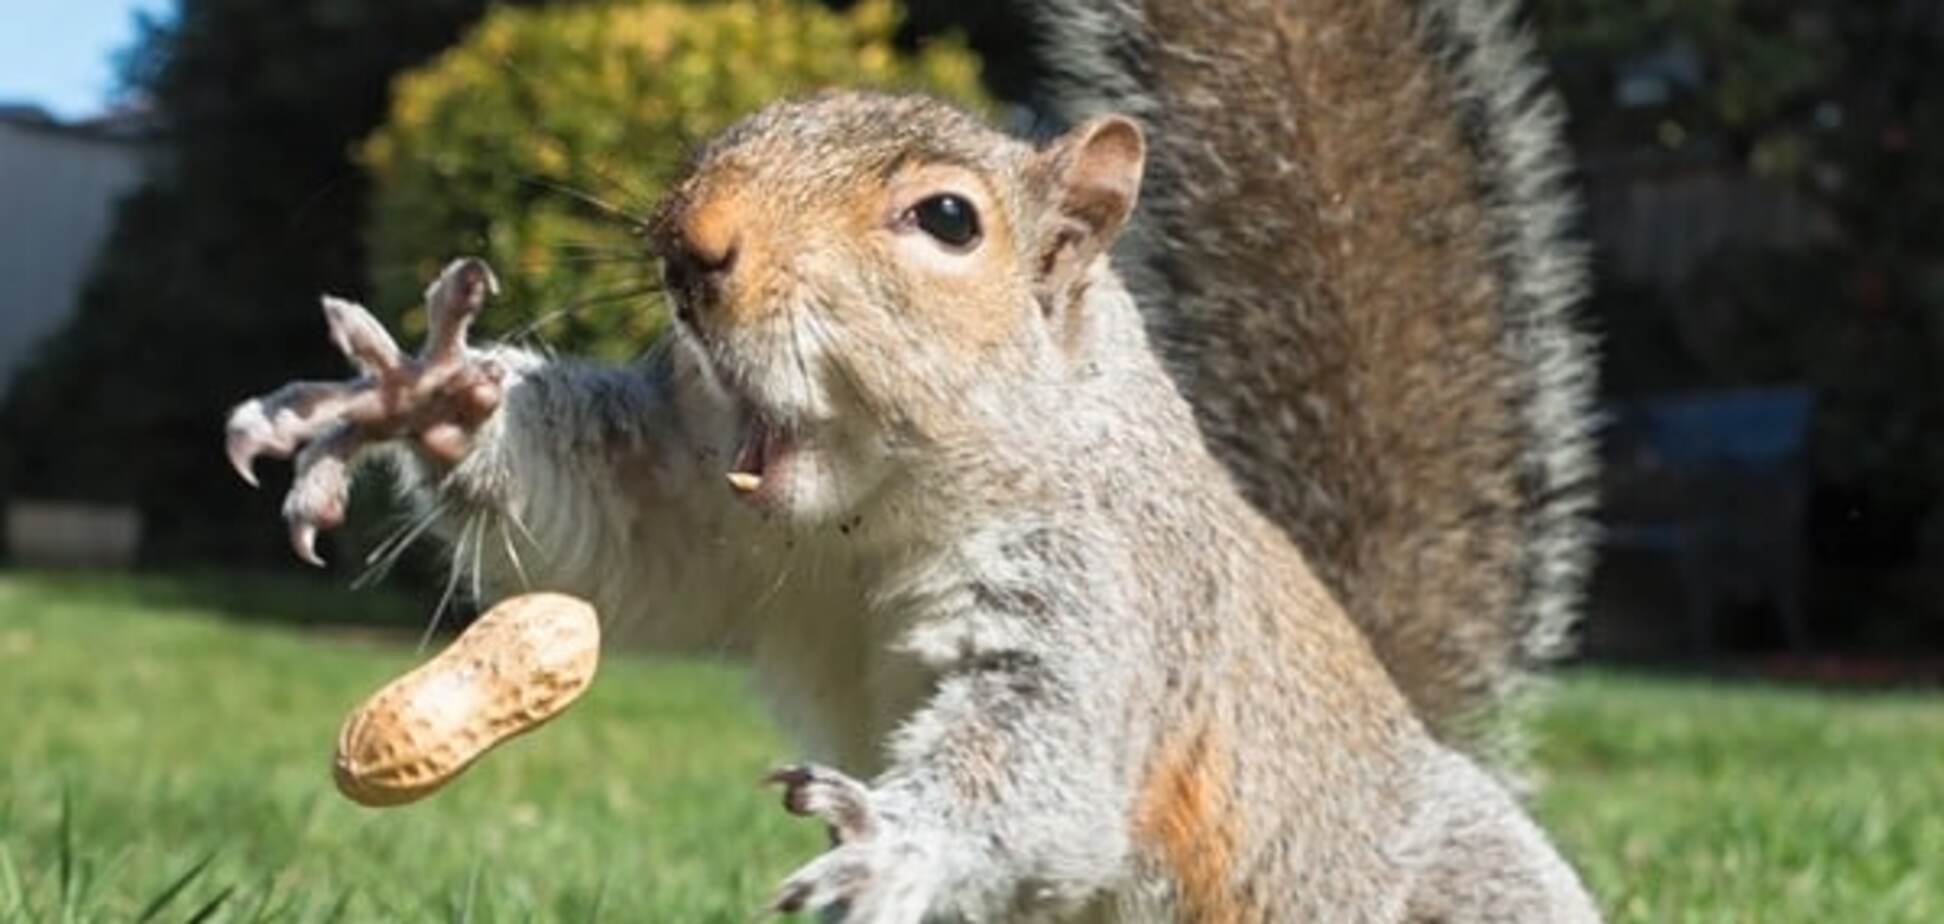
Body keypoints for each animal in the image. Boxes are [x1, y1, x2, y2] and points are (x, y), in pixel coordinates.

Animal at [223, 0, 1594, 918]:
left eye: (946, 220)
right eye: (726, 136)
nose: (688, 245)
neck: (873, 517)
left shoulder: (1108, 597)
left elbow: (1043, 758)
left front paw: (894, 837)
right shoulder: (697, 510)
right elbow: (608, 533)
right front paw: (420, 396)